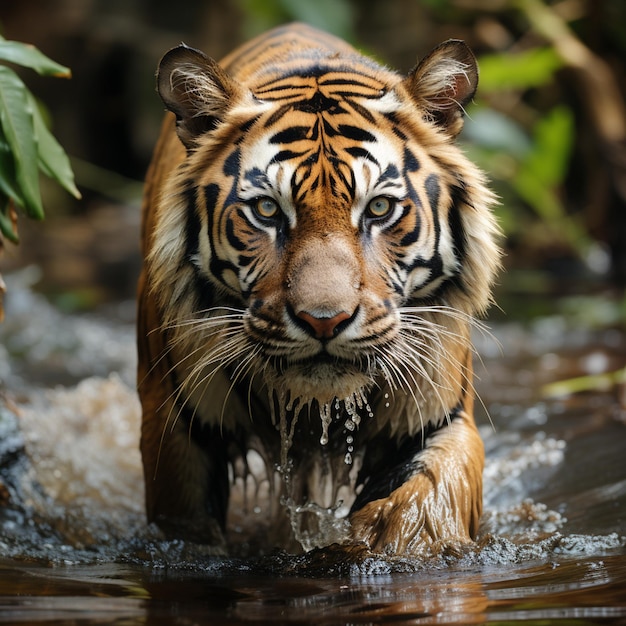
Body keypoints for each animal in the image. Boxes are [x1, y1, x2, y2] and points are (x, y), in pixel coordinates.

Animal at [136, 22, 498, 552]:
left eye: (378, 208)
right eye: (267, 210)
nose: (323, 321)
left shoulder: (439, 420)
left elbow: (423, 503)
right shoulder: (176, 428)